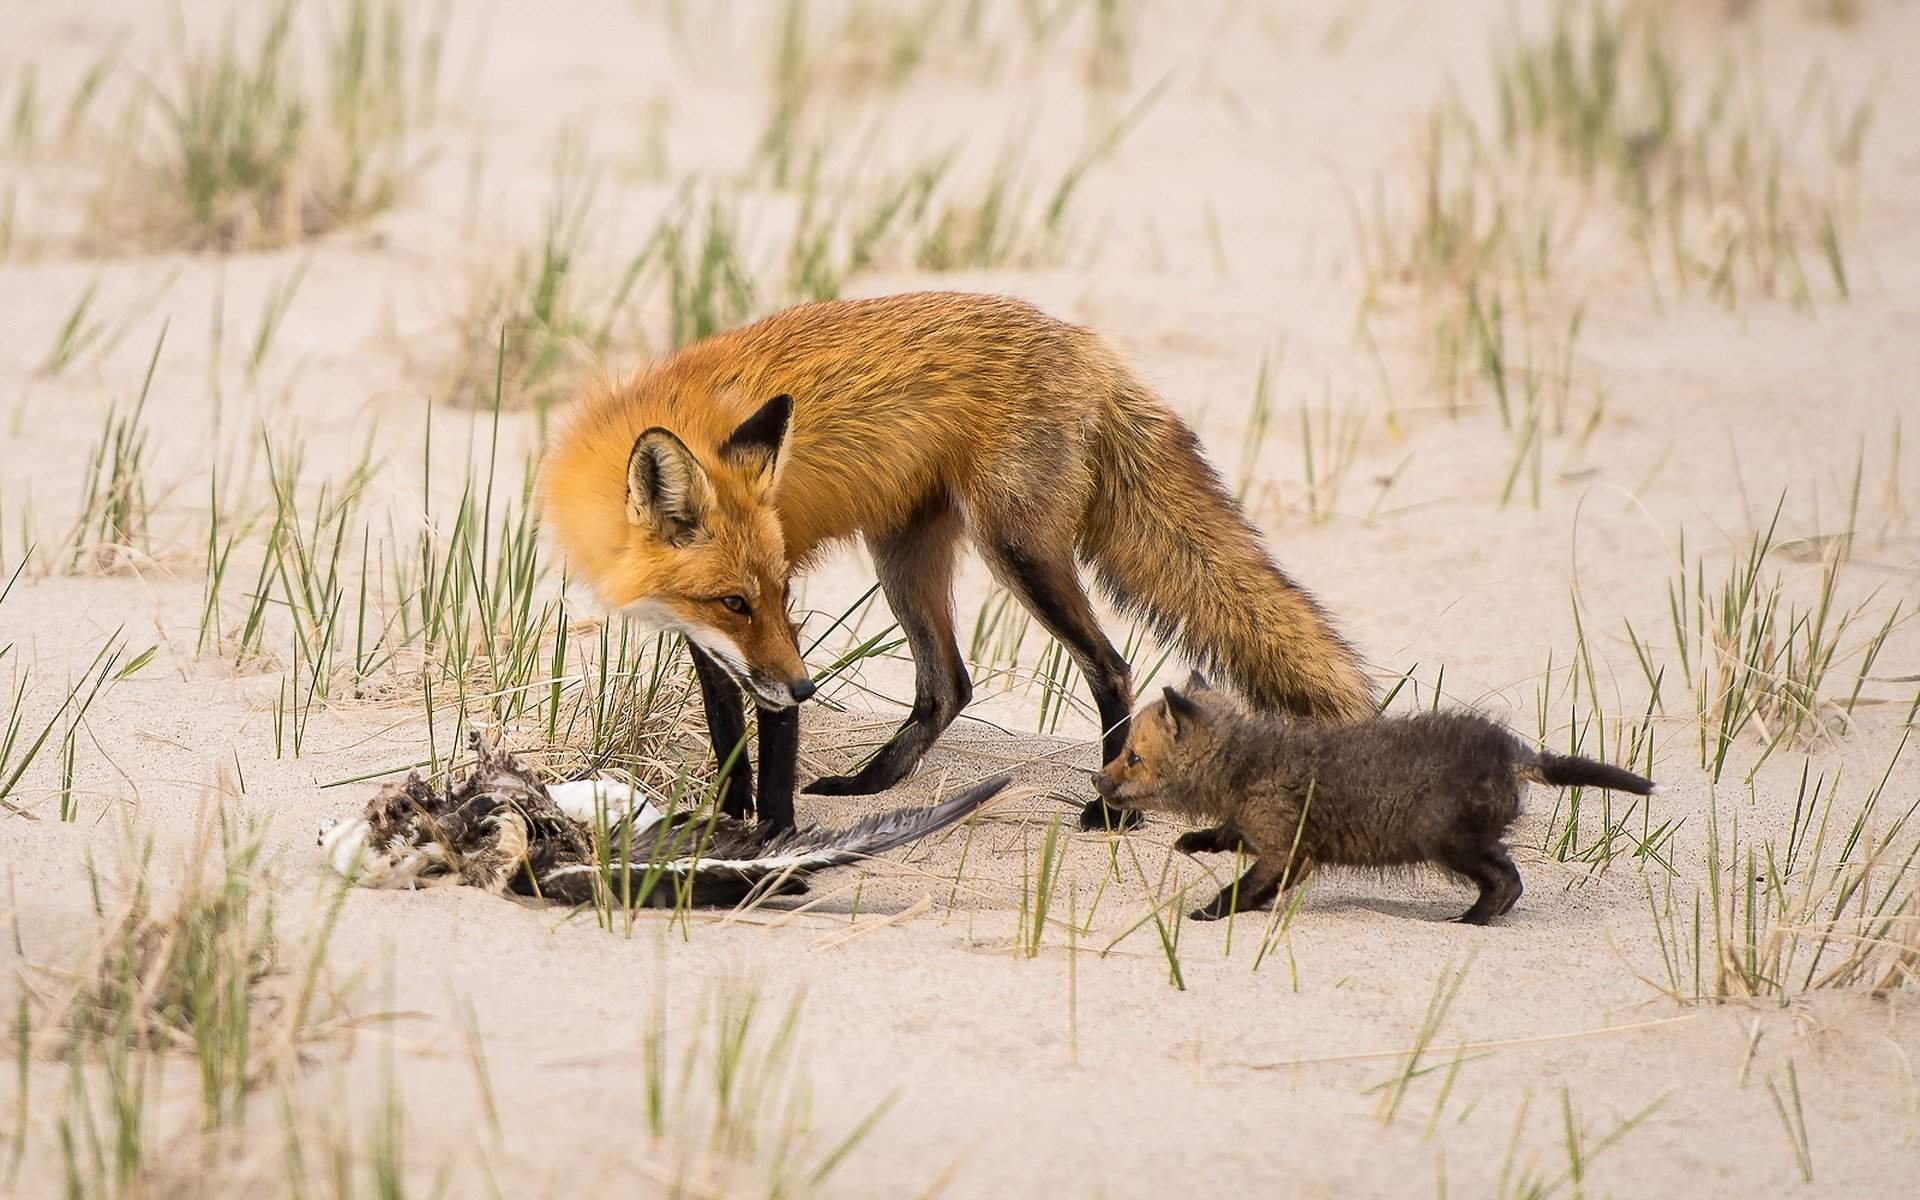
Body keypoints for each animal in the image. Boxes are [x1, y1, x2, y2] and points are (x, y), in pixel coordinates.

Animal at [549, 295, 1374, 829]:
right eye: (732, 602)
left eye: (781, 593)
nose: (810, 687)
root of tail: (1090, 347)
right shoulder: (720, 642)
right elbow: (729, 737)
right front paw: (724, 820)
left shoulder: (778, 639)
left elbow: (772, 737)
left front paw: (772, 839)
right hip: (903, 557)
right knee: (949, 684)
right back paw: (872, 783)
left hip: (1017, 550)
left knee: (1109, 665)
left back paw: (1111, 809)